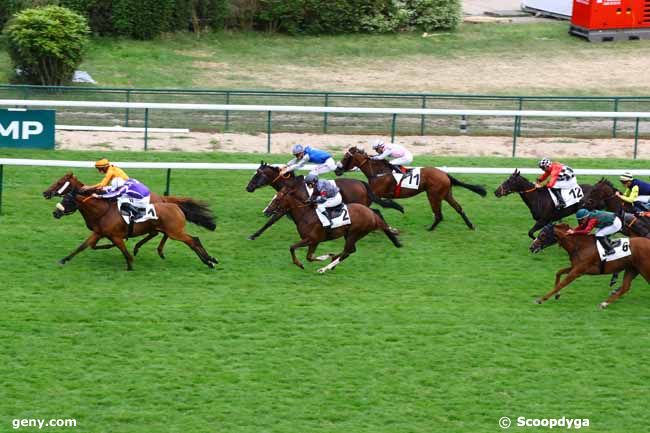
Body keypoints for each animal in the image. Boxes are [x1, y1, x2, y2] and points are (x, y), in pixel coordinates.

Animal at [43, 172, 215, 258]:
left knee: (168, 235)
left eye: (59, 183)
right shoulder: (99, 231)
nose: (45, 193)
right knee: (160, 234)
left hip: (165, 226)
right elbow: (92, 244)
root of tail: (164, 198)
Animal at [51, 187, 218, 268]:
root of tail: (176, 206)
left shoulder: (116, 236)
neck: (103, 211)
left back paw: (210, 261)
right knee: (183, 240)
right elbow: (82, 246)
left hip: (176, 232)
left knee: (194, 241)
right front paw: (64, 260)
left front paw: (130, 265)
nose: (55, 213)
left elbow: (124, 251)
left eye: (67, 200)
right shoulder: (98, 233)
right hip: (169, 230)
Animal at [246, 160, 402, 240]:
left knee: (376, 212)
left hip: (360, 204)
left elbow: (271, 220)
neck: (292, 186)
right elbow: (271, 221)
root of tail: (362, 183)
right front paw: (254, 235)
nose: (248, 187)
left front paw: (253, 236)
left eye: (257, 175)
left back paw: (388, 230)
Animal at [264, 183, 400, 272]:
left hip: (354, 233)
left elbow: (295, 249)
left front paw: (305, 262)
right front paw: (327, 255)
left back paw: (325, 268)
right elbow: (307, 255)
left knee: (347, 251)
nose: (266, 211)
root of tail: (372, 215)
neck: (305, 215)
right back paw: (333, 260)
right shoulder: (314, 241)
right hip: (349, 234)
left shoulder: (312, 239)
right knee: (350, 251)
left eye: (277, 199)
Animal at [332, 147, 484, 230]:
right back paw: (470, 225)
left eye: (346, 157)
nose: (337, 170)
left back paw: (430, 229)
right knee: (458, 208)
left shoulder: (374, 194)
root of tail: (445, 174)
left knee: (439, 214)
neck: (378, 172)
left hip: (433, 195)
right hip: (446, 194)